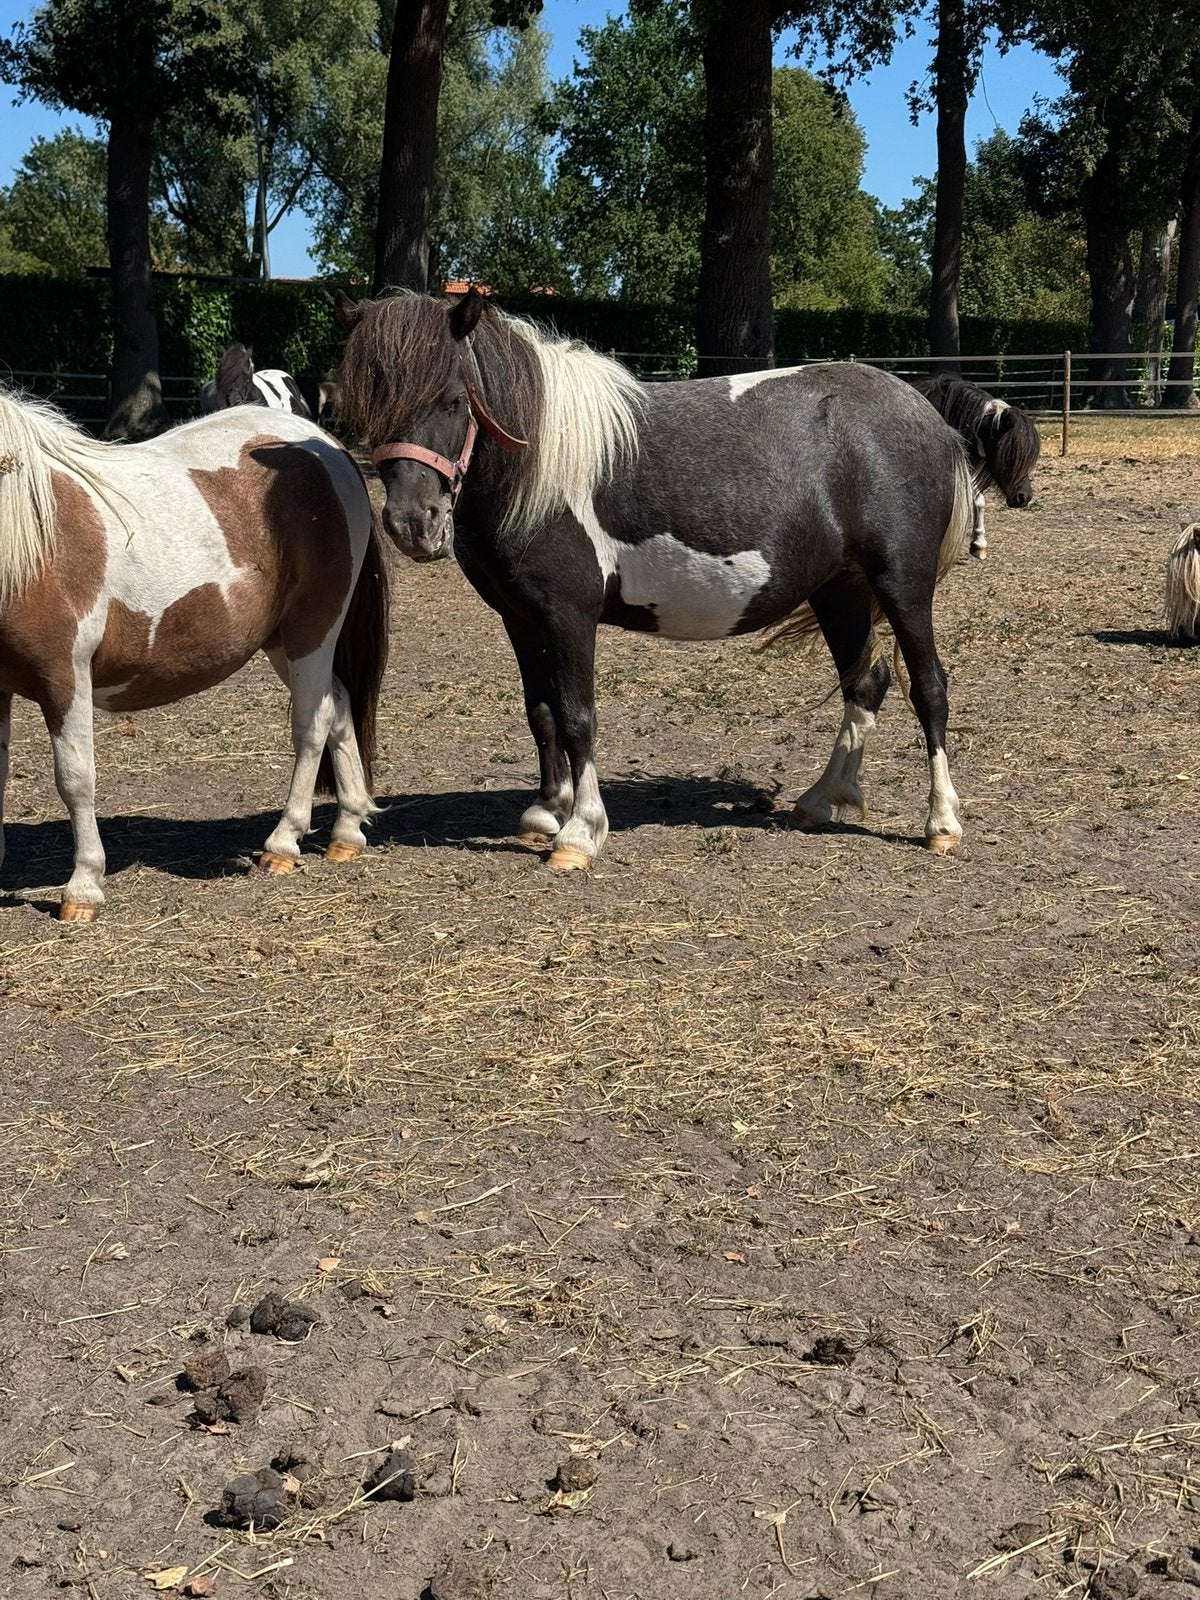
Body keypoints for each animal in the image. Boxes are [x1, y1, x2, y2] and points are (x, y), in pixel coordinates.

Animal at [0, 386, 389, 920]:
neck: (33, 535)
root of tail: (326, 447)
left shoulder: (65, 679)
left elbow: (75, 780)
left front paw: (82, 889)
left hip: (314, 630)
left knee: (312, 725)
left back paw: (282, 843)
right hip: (283, 643)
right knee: (341, 704)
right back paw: (347, 832)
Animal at [333, 287, 976, 869]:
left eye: (452, 401)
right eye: (370, 405)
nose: (413, 524)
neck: (541, 466)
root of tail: (927, 416)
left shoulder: (569, 614)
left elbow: (577, 715)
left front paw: (579, 833)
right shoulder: (520, 617)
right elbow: (540, 711)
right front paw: (546, 810)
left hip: (902, 586)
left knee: (929, 688)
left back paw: (941, 822)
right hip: (839, 590)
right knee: (865, 683)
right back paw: (821, 800)